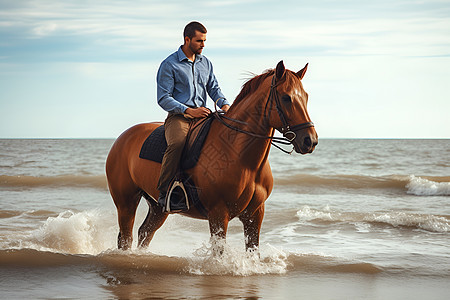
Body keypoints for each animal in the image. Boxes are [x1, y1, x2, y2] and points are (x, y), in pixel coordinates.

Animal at [106, 61, 316, 251]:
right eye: (286, 97)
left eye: (306, 96)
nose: (310, 141)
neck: (242, 159)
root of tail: (122, 139)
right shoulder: (218, 214)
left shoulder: (255, 214)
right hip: (126, 203)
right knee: (126, 238)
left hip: (158, 208)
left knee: (145, 233)